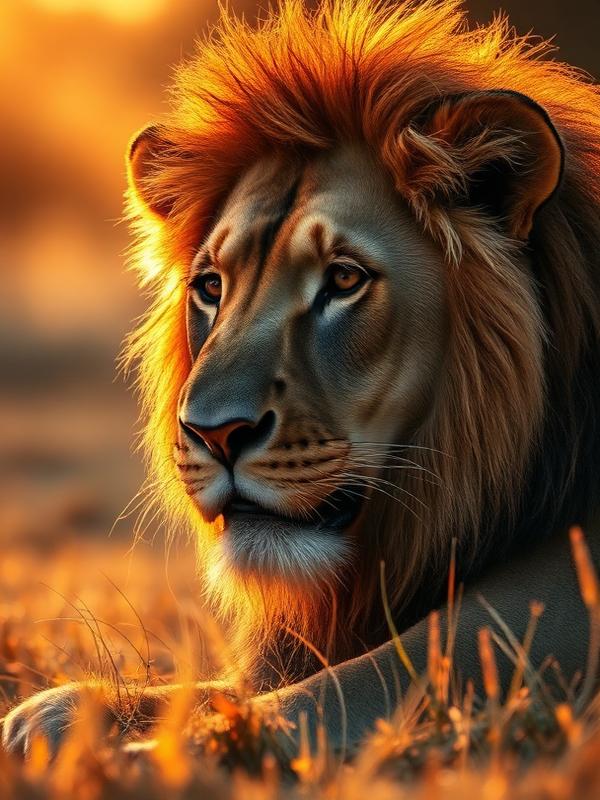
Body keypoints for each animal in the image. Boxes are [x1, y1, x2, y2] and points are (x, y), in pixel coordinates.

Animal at [4, 0, 600, 759]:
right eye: (210, 287)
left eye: (343, 279)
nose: (214, 433)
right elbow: (217, 688)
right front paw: (58, 712)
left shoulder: (535, 618)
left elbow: (335, 690)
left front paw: (158, 753)